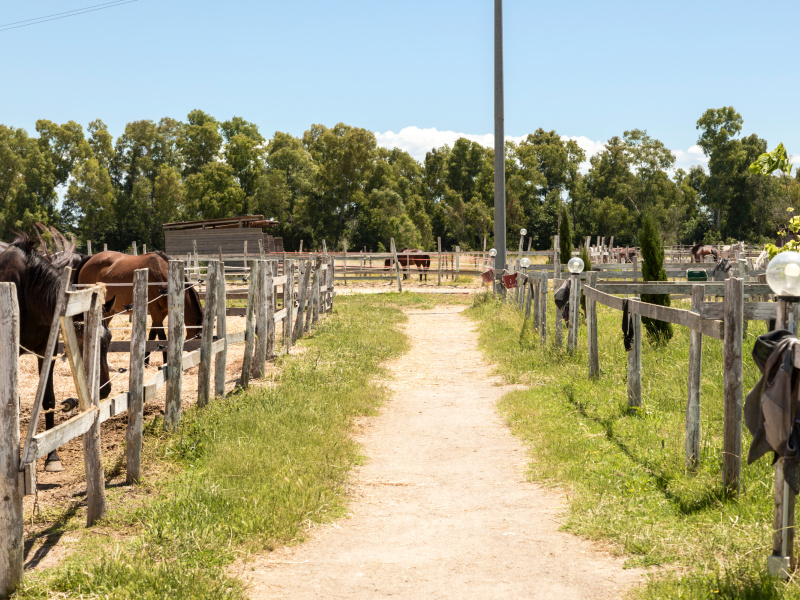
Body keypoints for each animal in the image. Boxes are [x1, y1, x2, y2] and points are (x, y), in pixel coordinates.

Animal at [0, 234, 114, 474]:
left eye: (109, 340)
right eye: (83, 341)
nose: (105, 389)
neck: (27, 291)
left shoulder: (46, 352)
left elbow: (49, 399)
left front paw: (52, 456)